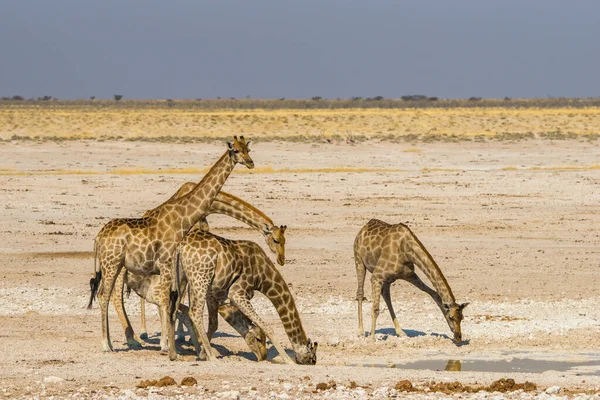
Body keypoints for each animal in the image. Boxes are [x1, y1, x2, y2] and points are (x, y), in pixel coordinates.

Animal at [91, 136, 253, 360]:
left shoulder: (175, 268)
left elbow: (173, 303)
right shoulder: (167, 264)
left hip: (116, 265)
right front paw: (167, 346)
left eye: (248, 149)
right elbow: (168, 302)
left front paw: (174, 344)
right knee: (104, 295)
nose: (250, 162)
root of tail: (99, 237)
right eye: (235, 150)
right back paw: (106, 344)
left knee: (108, 295)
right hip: (111, 263)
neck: (183, 218)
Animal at [175, 230, 318, 364]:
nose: (263, 358)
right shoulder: (237, 293)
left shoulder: (218, 296)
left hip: (181, 278)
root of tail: (182, 245)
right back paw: (212, 357)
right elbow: (267, 327)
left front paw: (201, 354)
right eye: (312, 359)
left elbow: (215, 325)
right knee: (194, 312)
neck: (263, 276)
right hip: (200, 278)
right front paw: (288, 360)